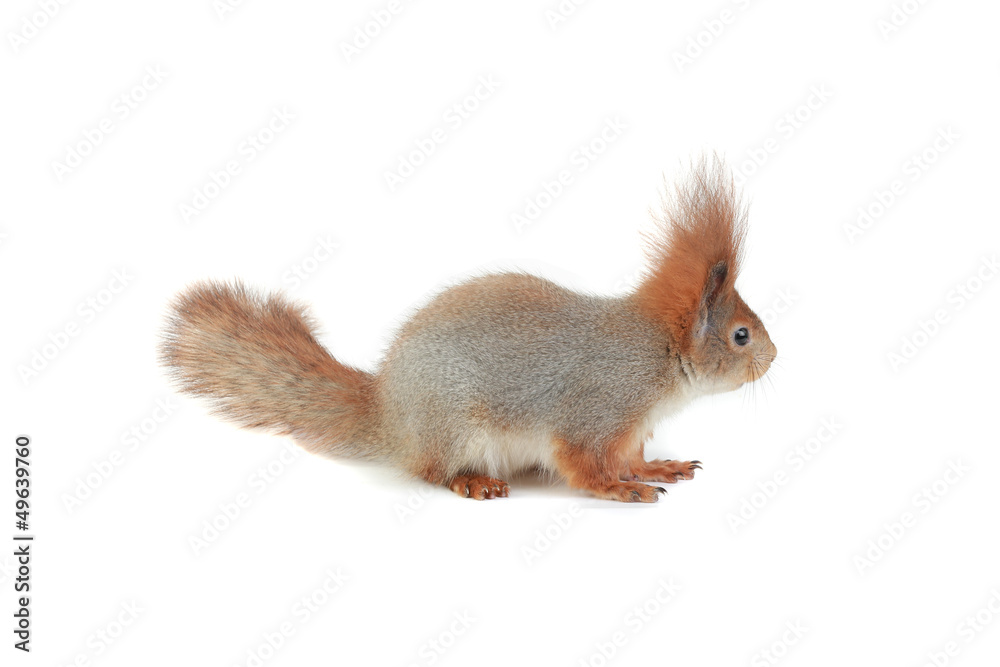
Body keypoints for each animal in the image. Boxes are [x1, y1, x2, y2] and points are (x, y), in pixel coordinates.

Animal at [159, 157, 776, 503]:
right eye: (741, 336)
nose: (774, 357)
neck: (660, 354)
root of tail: (390, 414)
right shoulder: (597, 410)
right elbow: (584, 465)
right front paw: (621, 487)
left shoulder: (630, 427)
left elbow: (629, 454)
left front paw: (654, 466)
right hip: (454, 423)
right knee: (430, 470)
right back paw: (471, 481)